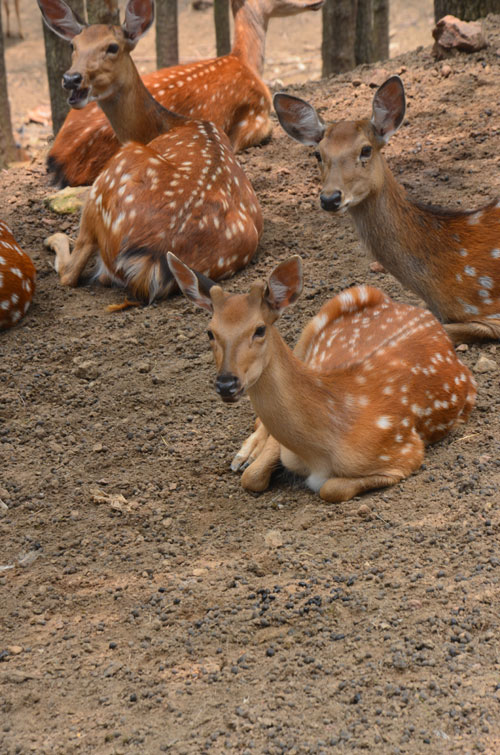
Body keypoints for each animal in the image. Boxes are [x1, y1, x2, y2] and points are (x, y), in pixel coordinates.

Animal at [37, 0, 262, 308]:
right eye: (73, 45)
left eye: (112, 47)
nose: (72, 79)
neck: (168, 124)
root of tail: (152, 257)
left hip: (107, 179)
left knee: (71, 272)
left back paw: (55, 239)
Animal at [168, 255, 476, 508]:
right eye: (210, 332)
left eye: (259, 329)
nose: (226, 383)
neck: (320, 448)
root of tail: (424, 313)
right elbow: (253, 477)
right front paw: (249, 460)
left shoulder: (405, 452)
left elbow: (331, 489)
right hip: (319, 319)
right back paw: (243, 455)